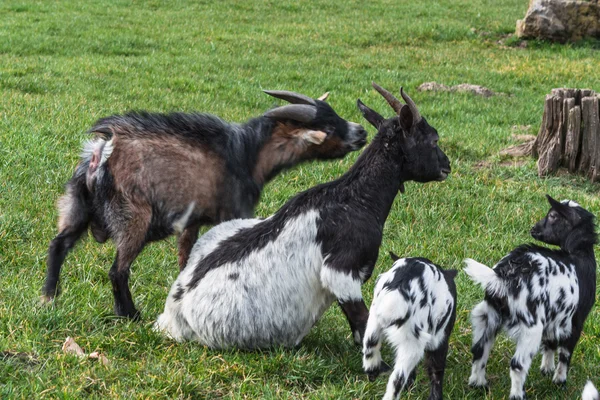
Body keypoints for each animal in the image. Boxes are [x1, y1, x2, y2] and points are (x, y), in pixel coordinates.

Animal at [41, 90, 366, 318]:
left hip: (78, 205)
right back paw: (130, 314)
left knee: (59, 245)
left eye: (335, 113)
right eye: (328, 126)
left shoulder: (191, 221)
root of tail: (101, 152)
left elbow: (186, 260)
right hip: (134, 216)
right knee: (117, 270)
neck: (246, 154)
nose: (361, 131)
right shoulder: (235, 212)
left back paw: (49, 297)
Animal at [155, 83, 450, 348]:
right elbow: (362, 325)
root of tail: (173, 314)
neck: (354, 198)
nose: (446, 166)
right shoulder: (342, 273)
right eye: (433, 140)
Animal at [364, 255, 458, 398]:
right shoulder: (440, 339)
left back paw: (373, 373)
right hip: (412, 344)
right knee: (397, 379)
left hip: (374, 322)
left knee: (370, 349)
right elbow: (436, 370)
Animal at [464, 195, 596, 398]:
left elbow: (550, 343)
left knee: (479, 350)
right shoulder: (575, 320)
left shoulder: (554, 316)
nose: (533, 229)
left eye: (553, 216)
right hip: (530, 327)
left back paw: (479, 384)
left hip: (487, 315)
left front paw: (546, 369)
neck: (579, 255)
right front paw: (559, 381)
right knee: (517, 365)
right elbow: (565, 353)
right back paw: (518, 395)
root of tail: (505, 275)